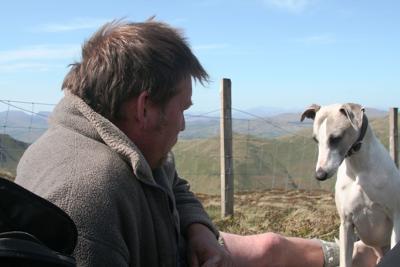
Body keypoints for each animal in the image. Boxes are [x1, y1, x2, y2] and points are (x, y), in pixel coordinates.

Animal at [300, 103, 400, 266]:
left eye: (336, 138)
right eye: (315, 140)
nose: (319, 175)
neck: (359, 170)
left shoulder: (396, 217)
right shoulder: (346, 223)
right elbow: (344, 261)